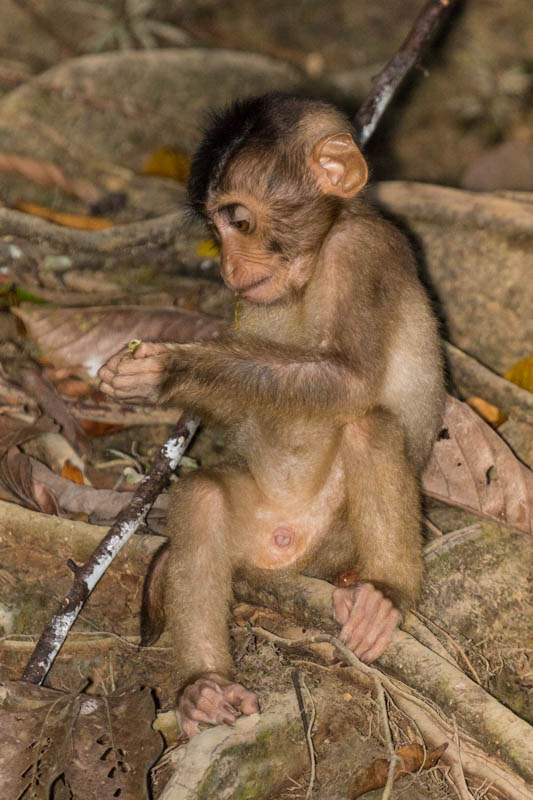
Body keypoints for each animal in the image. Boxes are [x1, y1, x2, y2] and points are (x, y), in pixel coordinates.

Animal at [97, 94, 442, 736]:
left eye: (241, 222)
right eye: (215, 231)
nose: (229, 268)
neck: (313, 261)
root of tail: (285, 554)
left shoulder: (363, 252)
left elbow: (350, 381)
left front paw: (168, 368)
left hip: (333, 544)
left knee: (367, 423)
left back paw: (384, 591)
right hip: (256, 523)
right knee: (203, 498)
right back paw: (205, 686)